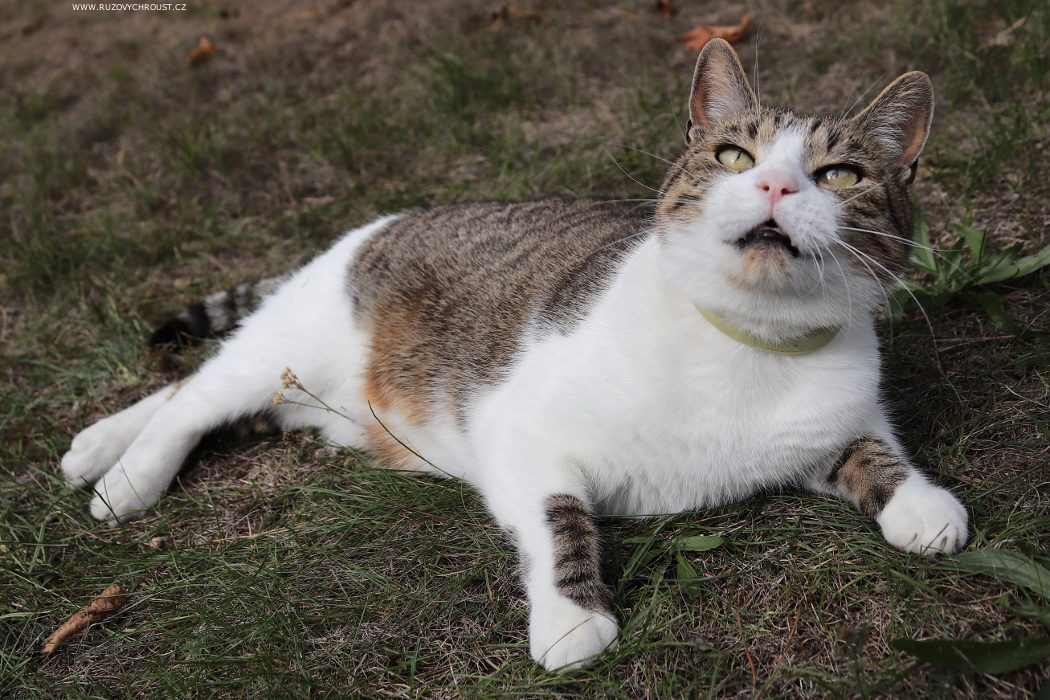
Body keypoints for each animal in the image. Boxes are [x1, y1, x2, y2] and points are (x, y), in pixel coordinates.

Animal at [63, 39, 965, 671]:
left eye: (840, 173)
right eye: (734, 157)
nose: (776, 188)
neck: (748, 342)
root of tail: (382, 223)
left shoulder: (830, 420)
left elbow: (871, 450)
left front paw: (920, 502)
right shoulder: (520, 434)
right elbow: (558, 515)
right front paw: (573, 617)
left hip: (301, 400)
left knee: (195, 394)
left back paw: (95, 447)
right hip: (287, 350)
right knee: (192, 395)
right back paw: (122, 477)